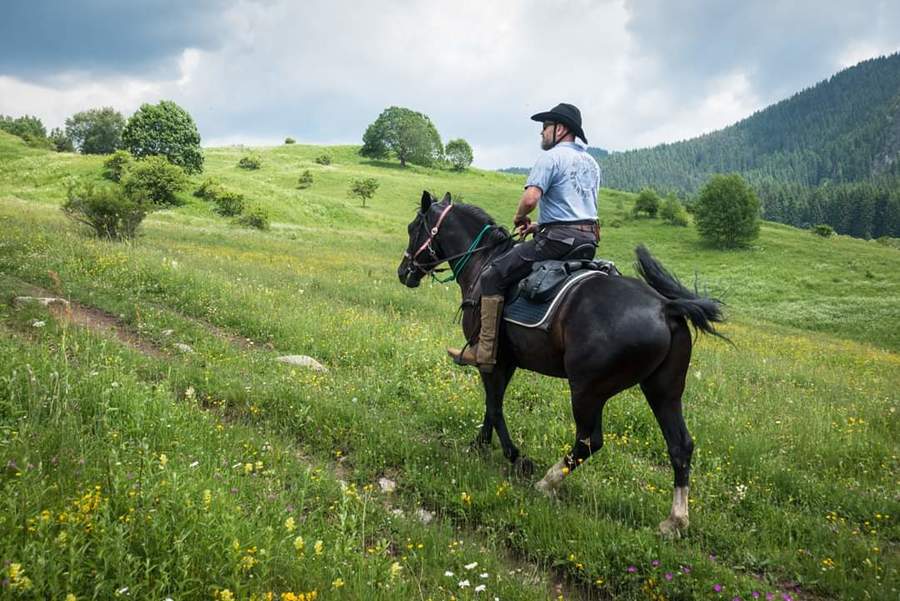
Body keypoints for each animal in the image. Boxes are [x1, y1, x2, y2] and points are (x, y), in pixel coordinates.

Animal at [400, 190, 724, 532]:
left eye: (413, 228)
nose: (403, 272)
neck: (482, 262)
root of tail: (666, 307)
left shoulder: (491, 358)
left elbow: (494, 405)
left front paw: (514, 456)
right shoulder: (508, 361)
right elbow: (492, 405)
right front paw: (480, 445)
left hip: (587, 389)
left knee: (590, 441)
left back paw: (547, 482)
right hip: (663, 390)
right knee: (680, 445)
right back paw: (675, 520)